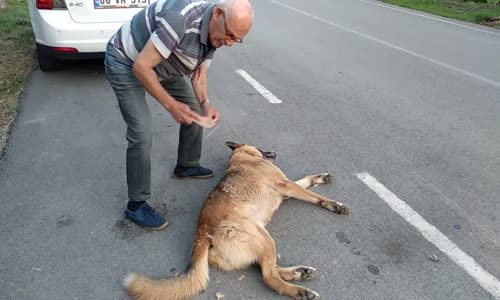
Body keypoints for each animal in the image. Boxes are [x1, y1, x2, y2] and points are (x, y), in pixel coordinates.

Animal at [124, 142, 352, 298]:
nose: (273, 151)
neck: (242, 158)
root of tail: (202, 233)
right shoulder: (286, 185)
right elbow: (314, 195)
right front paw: (334, 204)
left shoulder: (286, 192)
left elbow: (307, 181)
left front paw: (320, 178)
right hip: (263, 238)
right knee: (269, 277)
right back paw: (299, 290)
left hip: (262, 240)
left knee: (267, 267)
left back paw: (299, 273)